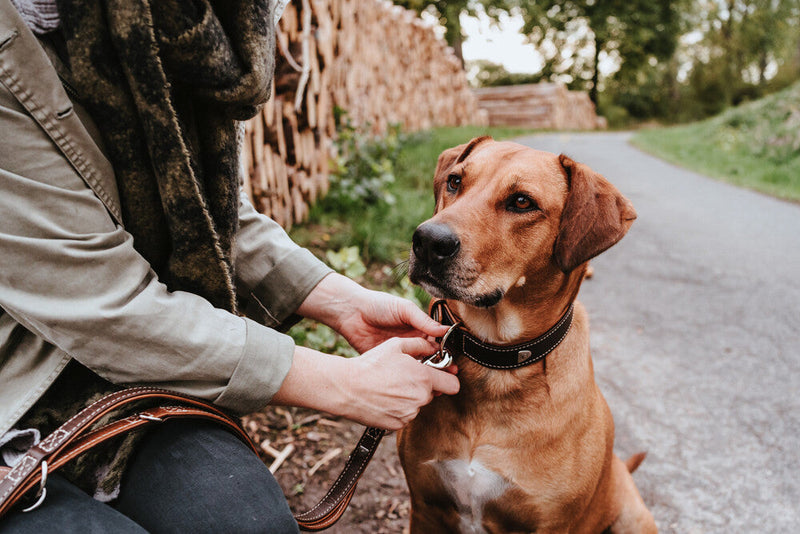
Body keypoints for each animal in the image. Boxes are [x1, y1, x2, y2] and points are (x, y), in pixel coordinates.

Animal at [398, 139, 656, 534]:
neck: (498, 363)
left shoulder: (549, 525)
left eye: (521, 202)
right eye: (455, 181)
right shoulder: (424, 509)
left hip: (634, 518)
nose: (427, 241)